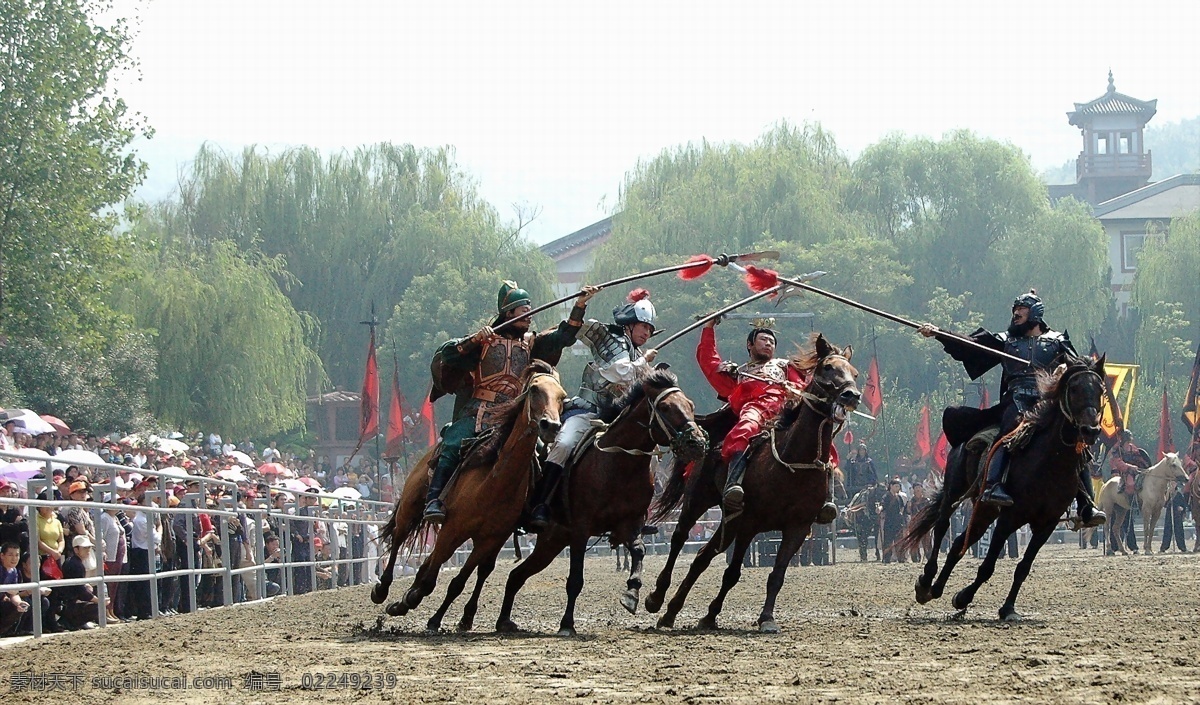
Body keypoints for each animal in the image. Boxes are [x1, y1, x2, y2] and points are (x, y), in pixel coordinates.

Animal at [369, 359, 566, 628]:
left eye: (562, 397)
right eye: (535, 389)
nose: (551, 426)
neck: (494, 483)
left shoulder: (489, 539)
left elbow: (459, 581)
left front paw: (431, 612)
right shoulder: (452, 530)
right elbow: (431, 578)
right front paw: (413, 601)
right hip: (410, 504)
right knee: (399, 537)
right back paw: (382, 589)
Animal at [492, 371, 705, 637]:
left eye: (691, 406)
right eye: (666, 407)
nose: (697, 443)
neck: (619, 463)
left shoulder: (630, 524)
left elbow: (639, 551)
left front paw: (632, 593)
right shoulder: (581, 530)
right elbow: (575, 579)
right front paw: (567, 624)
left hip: (551, 543)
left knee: (515, 576)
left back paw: (503, 621)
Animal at [652, 335, 859, 633]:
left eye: (854, 372)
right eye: (828, 367)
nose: (851, 395)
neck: (792, 461)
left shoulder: (796, 528)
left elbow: (775, 575)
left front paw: (765, 618)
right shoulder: (749, 522)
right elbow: (732, 573)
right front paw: (712, 614)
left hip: (730, 519)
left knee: (702, 555)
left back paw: (671, 611)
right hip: (699, 500)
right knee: (680, 538)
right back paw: (656, 598)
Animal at [902, 354, 1104, 618]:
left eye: (1100, 390)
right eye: (1075, 388)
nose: (1091, 430)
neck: (1049, 463)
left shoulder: (1046, 524)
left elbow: (1023, 567)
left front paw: (1008, 608)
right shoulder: (1010, 517)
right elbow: (987, 565)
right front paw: (963, 597)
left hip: (985, 510)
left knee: (958, 543)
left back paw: (936, 588)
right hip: (955, 491)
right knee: (942, 526)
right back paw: (926, 582)